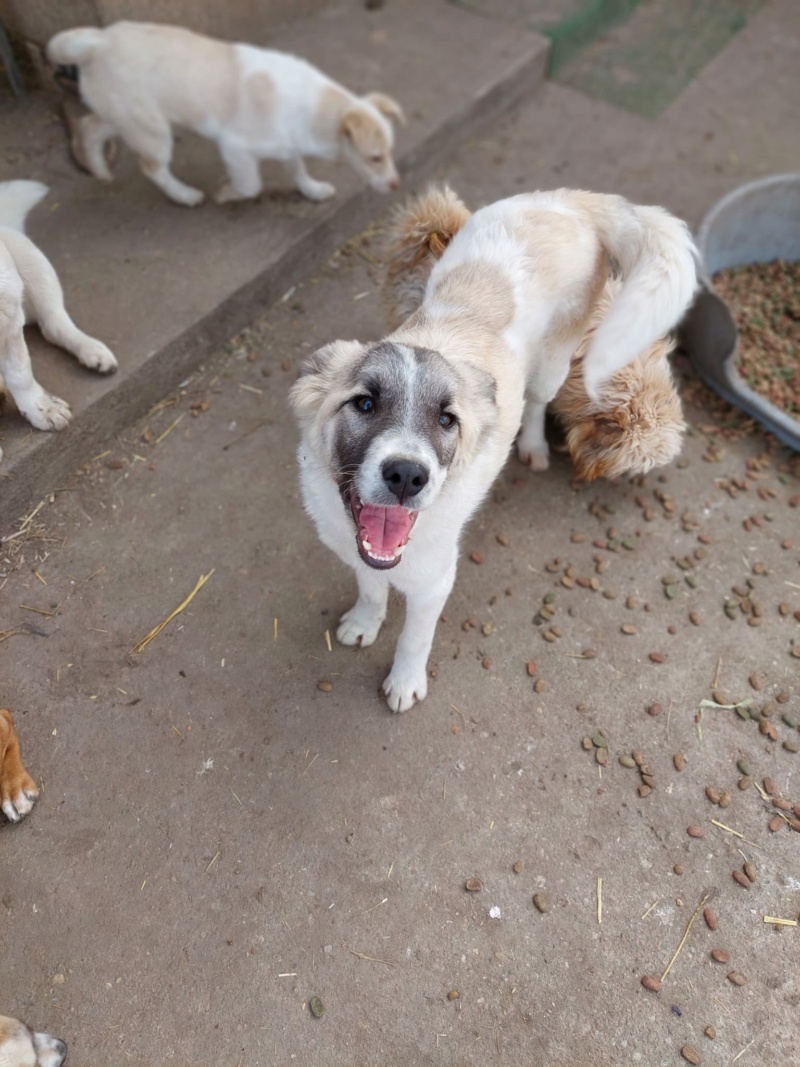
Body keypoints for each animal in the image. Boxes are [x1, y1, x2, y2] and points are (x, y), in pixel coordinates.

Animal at [0, 180, 117, 463]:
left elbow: (20, 373)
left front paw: (42, 408)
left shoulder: (9, 315)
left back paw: (93, 350)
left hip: (28, 258)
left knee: (54, 324)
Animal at [46, 20, 403, 206]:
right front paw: (227, 193)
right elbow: (251, 185)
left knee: (89, 128)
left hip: (123, 116)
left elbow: (297, 169)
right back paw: (184, 195)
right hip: (153, 131)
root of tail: (99, 40)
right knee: (152, 168)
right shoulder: (235, 148)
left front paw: (312, 189)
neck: (316, 107)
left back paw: (99, 170)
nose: (396, 185)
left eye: (389, 152)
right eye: (375, 158)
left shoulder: (288, 145)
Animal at [292, 187, 699, 712]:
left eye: (447, 420)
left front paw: (404, 682)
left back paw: (533, 447)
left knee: (535, 403)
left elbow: (414, 639)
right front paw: (365, 623)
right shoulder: (358, 553)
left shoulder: (434, 583)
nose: (407, 476)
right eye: (364, 403)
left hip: (555, 363)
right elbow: (371, 589)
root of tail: (576, 201)